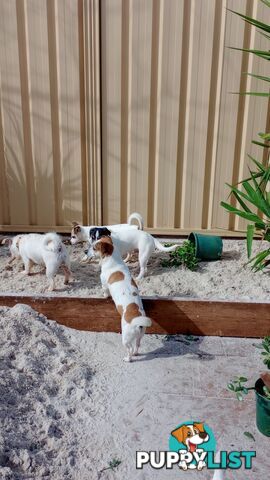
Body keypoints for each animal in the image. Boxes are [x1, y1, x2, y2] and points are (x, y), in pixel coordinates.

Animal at [87, 234, 153, 362]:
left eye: (94, 248)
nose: (84, 251)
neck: (113, 259)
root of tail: (137, 322)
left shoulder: (104, 285)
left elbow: (105, 292)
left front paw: (104, 296)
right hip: (139, 337)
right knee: (137, 346)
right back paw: (136, 353)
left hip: (125, 338)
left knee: (130, 349)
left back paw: (128, 359)